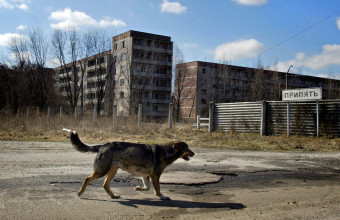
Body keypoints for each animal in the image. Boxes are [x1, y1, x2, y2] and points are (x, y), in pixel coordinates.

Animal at [63, 128, 194, 200]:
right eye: (187, 148)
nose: (194, 153)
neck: (165, 151)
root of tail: (102, 145)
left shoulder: (146, 176)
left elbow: (147, 187)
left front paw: (139, 188)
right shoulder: (155, 175)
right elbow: (157, 189)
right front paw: (162, 197)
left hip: (112, 171)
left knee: (105, 185)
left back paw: (113, 196)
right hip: (102, 171)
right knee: (87, 179)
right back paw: (80, 193)